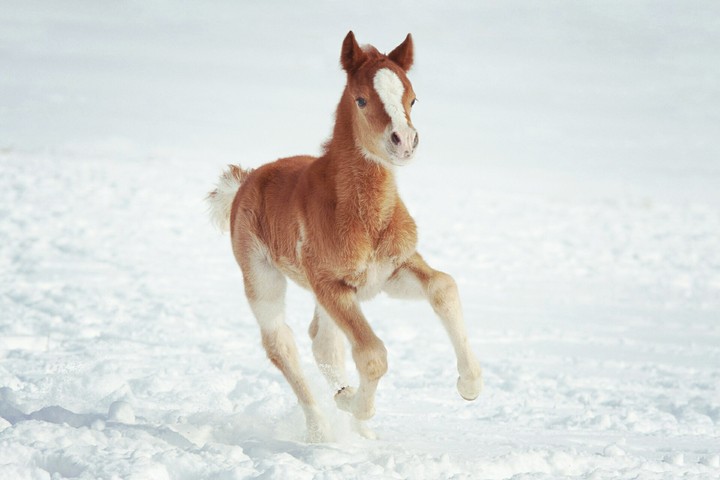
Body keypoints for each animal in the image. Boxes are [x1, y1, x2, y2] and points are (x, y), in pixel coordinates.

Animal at [207, 31, 482, 442]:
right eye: (361, 99)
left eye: (413, 98)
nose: (404, 142)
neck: (365, 216)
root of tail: (247, 180)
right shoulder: (332, 285)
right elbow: (372, 355)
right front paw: (353, 403)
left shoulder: (390, 272)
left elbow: (444, 286)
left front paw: (470, 385)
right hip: (262, 278)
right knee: (280, 343)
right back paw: (321, 430)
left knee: (322, 341)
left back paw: (358, 429)